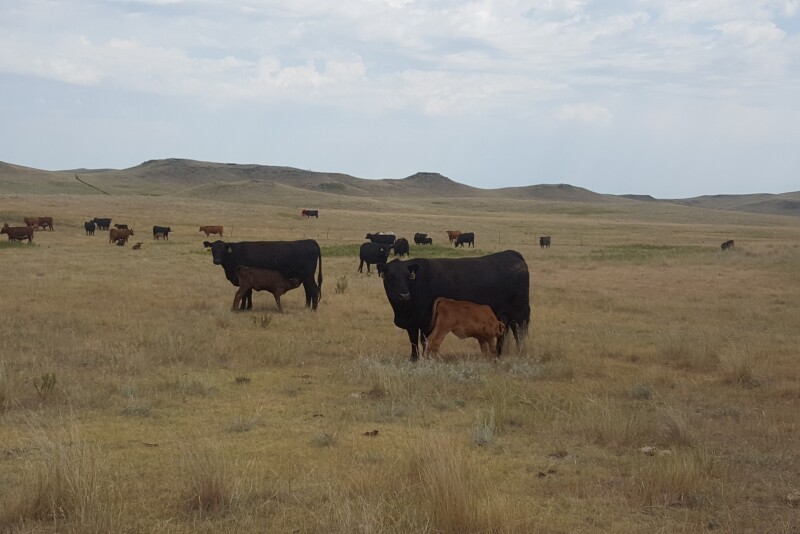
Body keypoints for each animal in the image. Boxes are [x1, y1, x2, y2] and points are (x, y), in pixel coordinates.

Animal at [376, 250, 530, 361]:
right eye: (390, 276)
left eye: (408, 276)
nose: (404, 295)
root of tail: (511, 254)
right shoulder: (412, 323)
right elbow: (413, 341)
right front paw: (413, 359)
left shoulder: (426, 321)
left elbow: (424, 340)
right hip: (504, 315)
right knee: (504, 333)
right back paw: (498, 354)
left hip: (519, 313)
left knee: (520, 333)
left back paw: (519, 354)